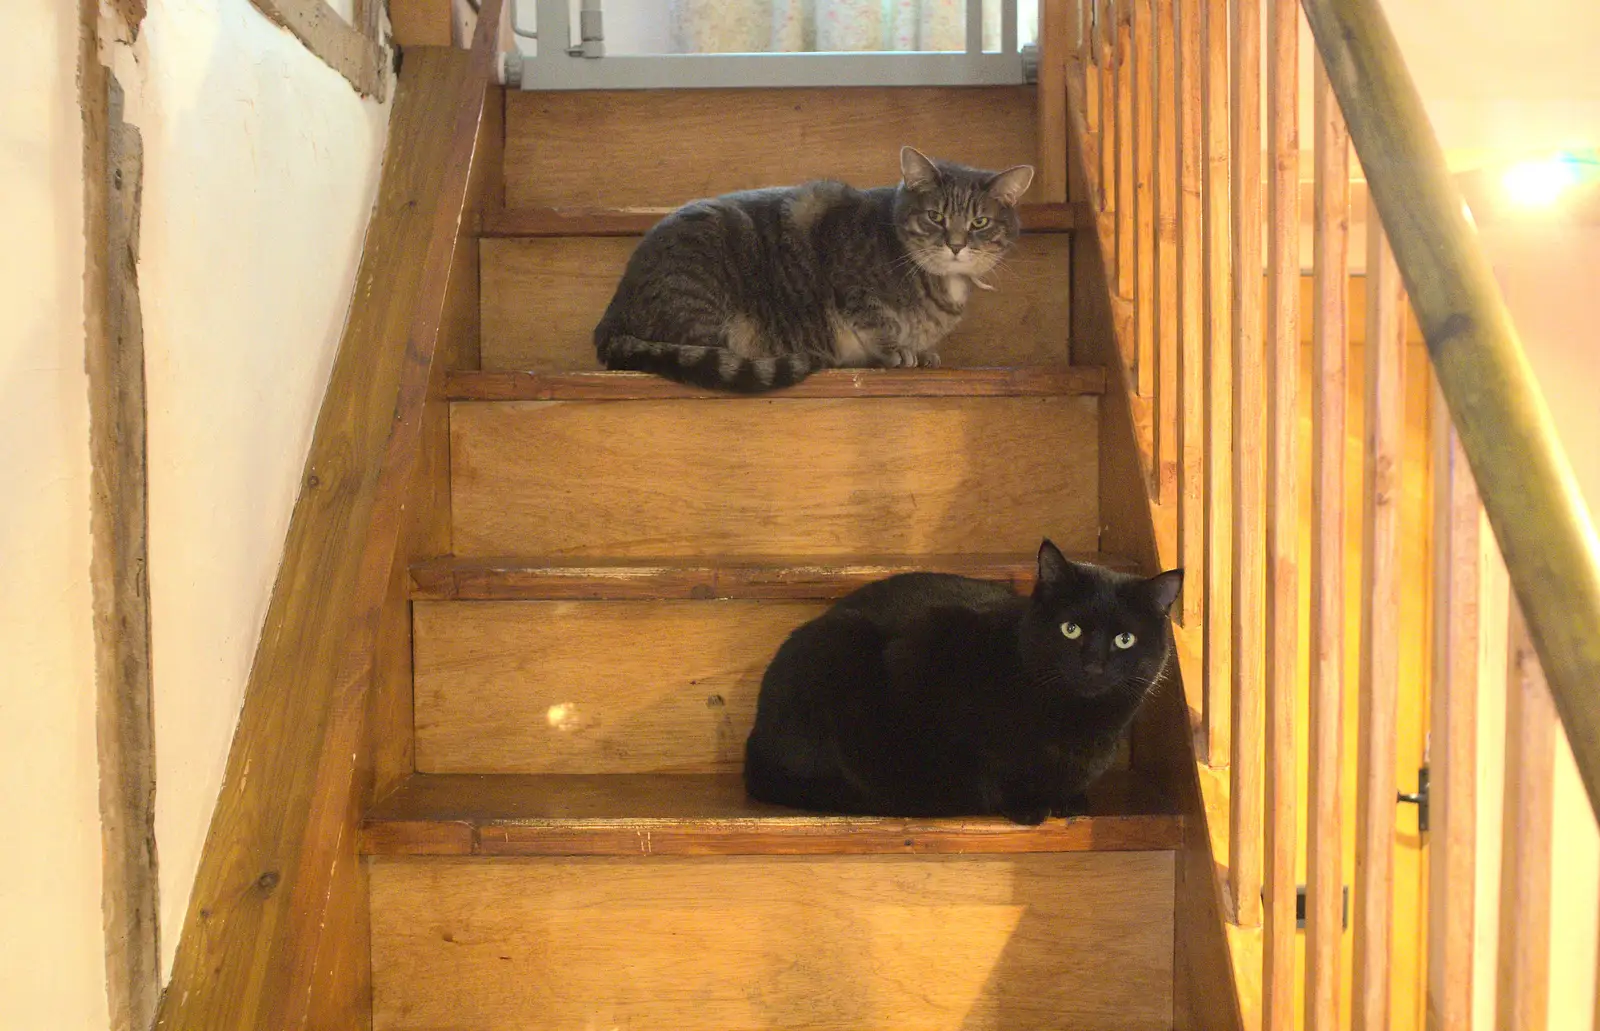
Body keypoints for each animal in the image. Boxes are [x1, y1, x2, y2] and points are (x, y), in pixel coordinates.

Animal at [595, 148, 1030, 395]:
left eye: (979, 223)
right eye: (935, 216)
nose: (955, 245)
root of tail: (610, 321)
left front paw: (922, 351)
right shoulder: (848, 280)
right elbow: (877, 322)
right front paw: (896, 350)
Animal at [742, 541, 1184, 819]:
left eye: (1124, 639)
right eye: (1070, 629)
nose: (1093, 664)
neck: (1075, 725)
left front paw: (1070, 799)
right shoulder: (921, 649)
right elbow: (989, 765)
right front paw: (1023, 803)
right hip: (839, 646)